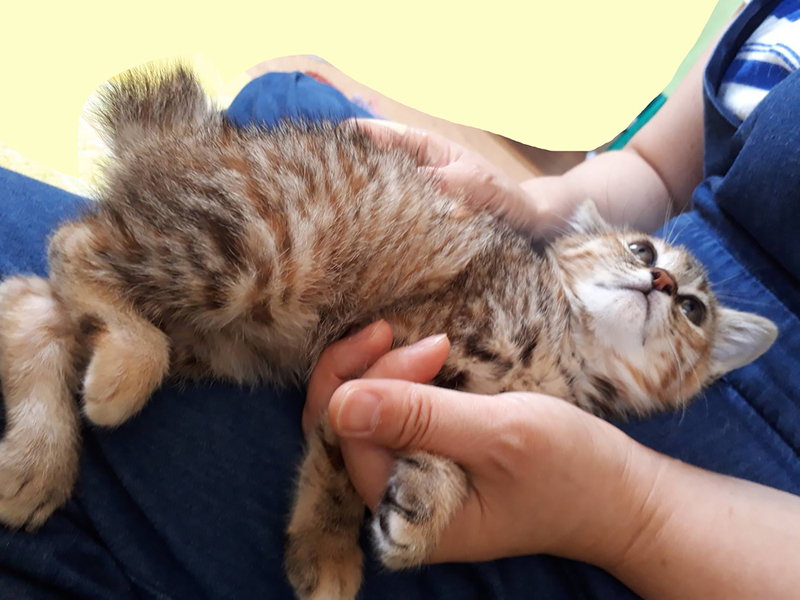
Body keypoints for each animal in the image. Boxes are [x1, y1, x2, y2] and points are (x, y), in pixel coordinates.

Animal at [0, 65, 777, 600]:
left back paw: (37, 459)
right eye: (641, 250)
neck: (563, 344)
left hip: (221, 337)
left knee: (31, 302)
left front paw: (416, 503)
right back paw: (123, 370)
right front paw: (331, 547)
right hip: (254, 256)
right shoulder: (399, 342)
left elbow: (397, 449)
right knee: (73, 245)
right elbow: (342, 460)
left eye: (695, 312)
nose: (664, 284)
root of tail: (183, 141)